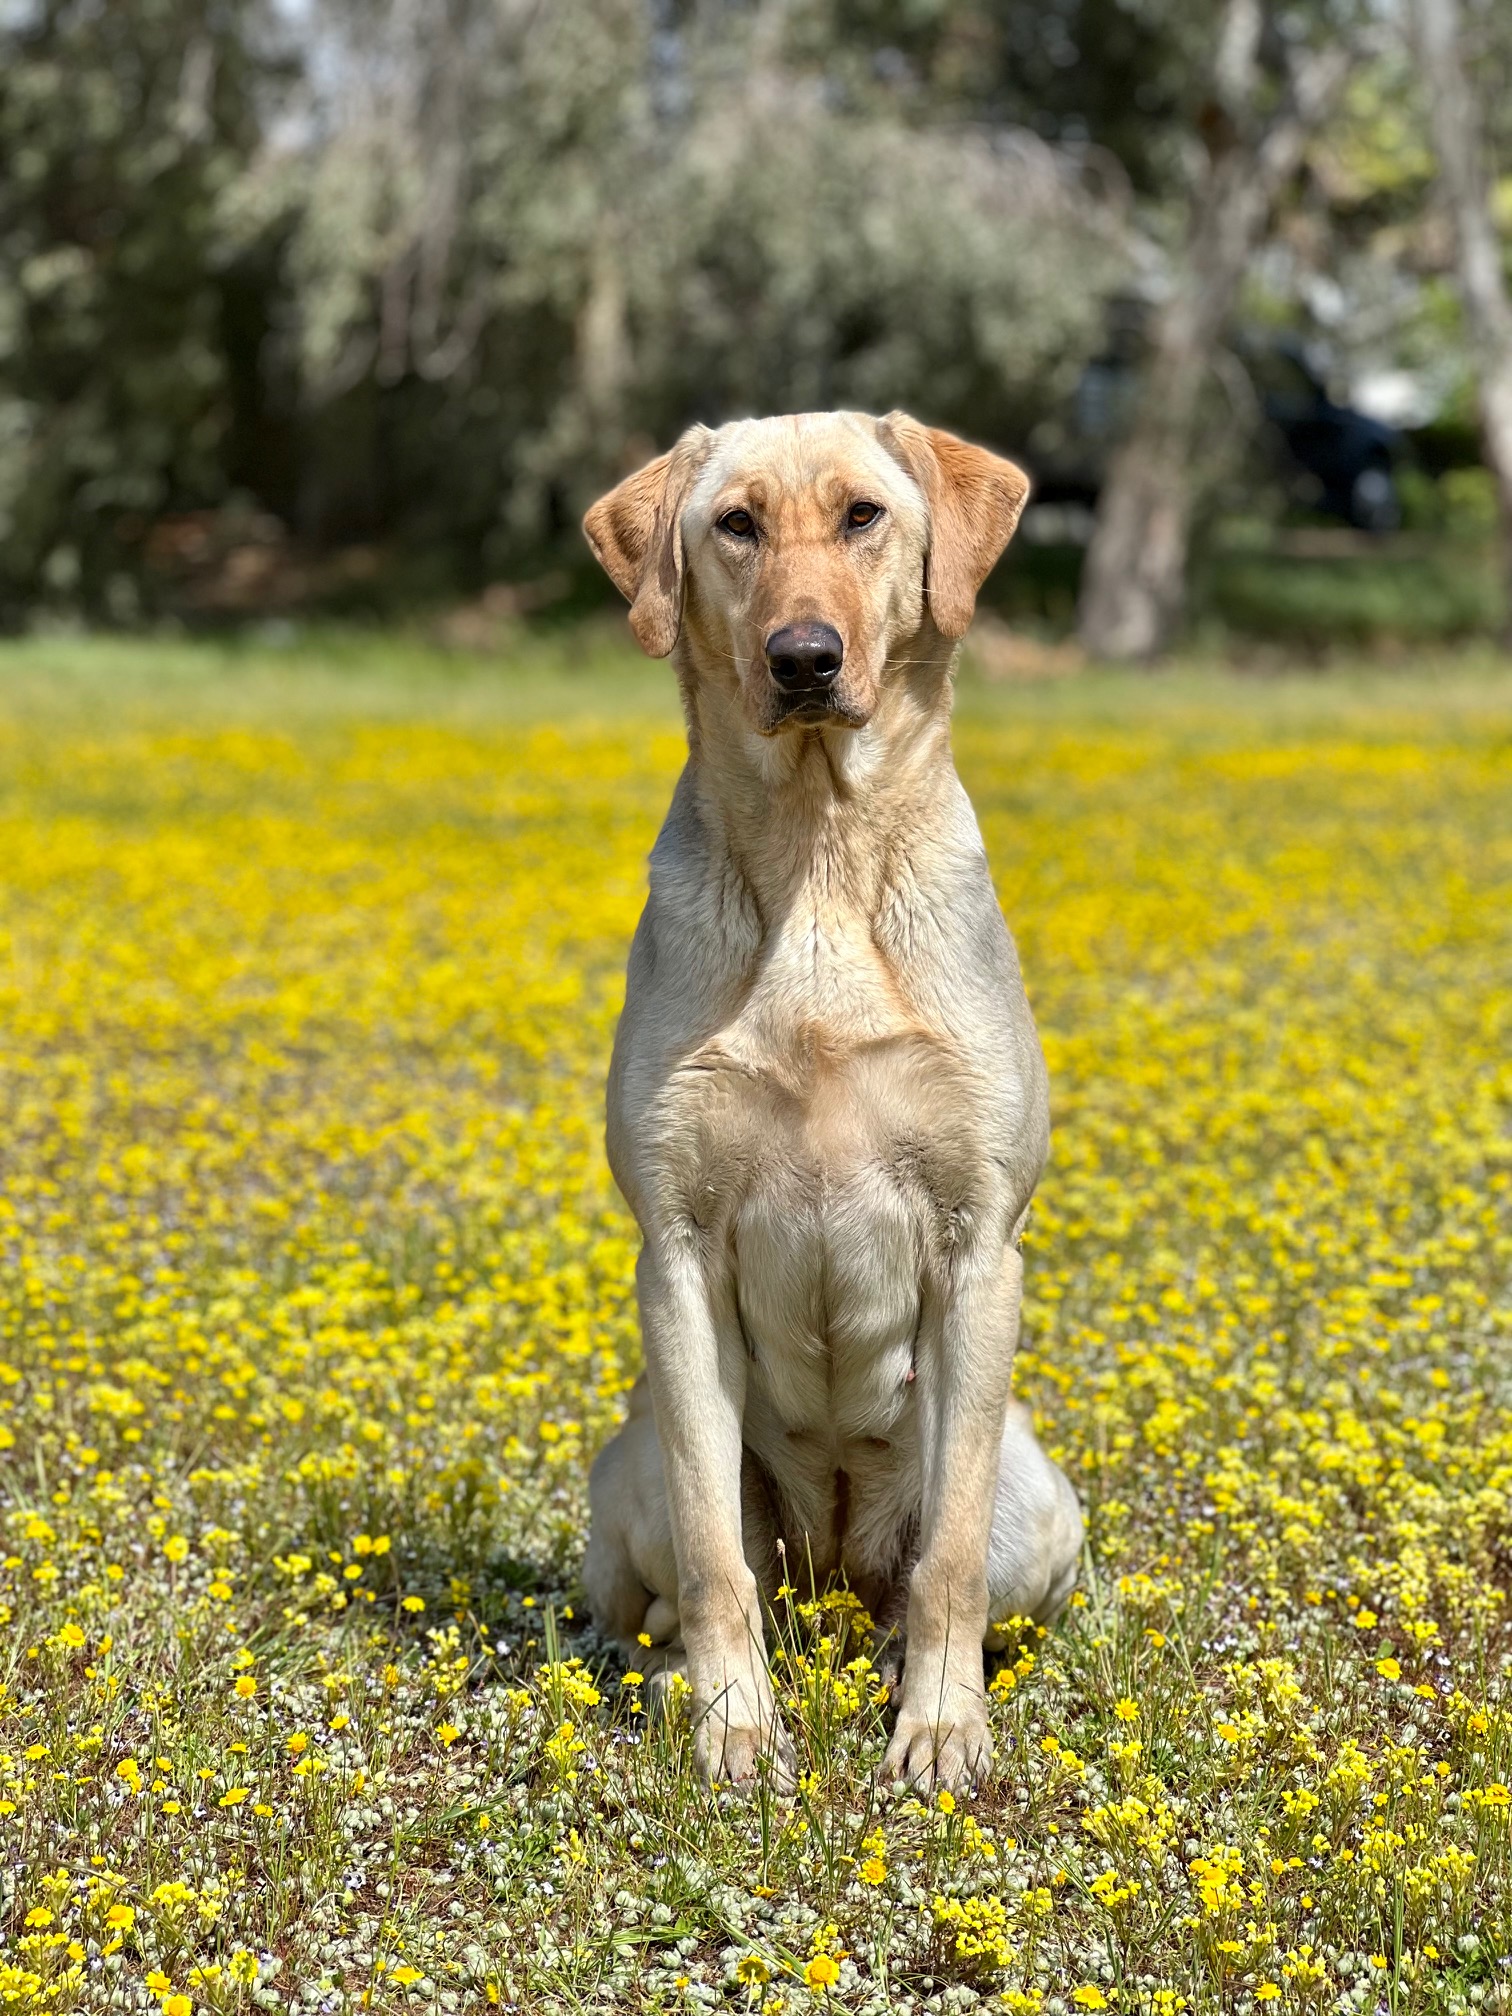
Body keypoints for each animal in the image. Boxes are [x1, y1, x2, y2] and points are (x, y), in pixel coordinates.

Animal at [572, 405, 1080, 1782]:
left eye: (864, 516)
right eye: (735, 525)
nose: (803, 657)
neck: (818, 846)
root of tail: (840, 1582)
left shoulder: (977, 1247)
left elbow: (948, 1564)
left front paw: (942, 1730)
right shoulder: (676, 1254)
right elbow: (712, 1560)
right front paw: (733, 1726)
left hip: (1041, 1507)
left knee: (937, 1579)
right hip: (627, 1473)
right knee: (656, 1595)